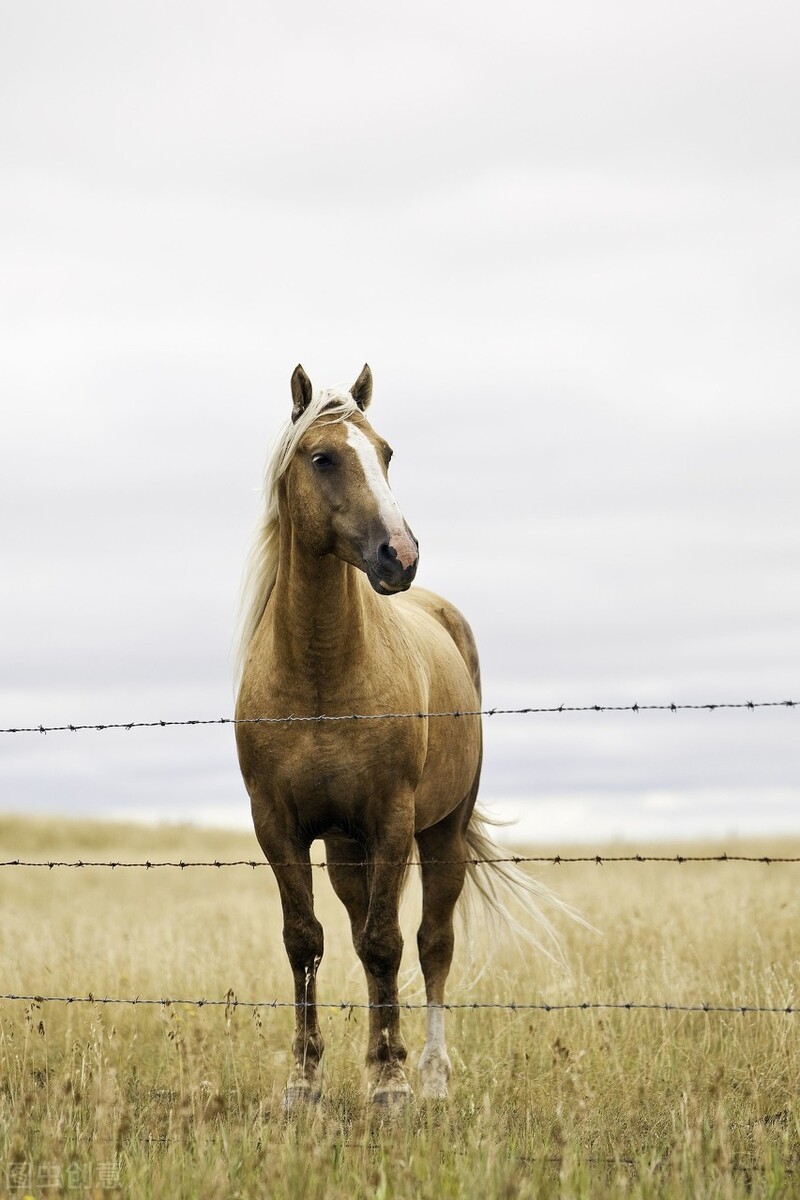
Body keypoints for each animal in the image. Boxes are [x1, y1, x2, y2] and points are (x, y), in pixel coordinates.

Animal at [234, 364, 555, 1107]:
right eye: (323, 457)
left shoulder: (392, 821)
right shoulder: (278, 827)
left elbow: (388, 945)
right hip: (347, 852)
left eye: (385, 453)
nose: (399, 555)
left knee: (432, 944)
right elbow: (306, 942)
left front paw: (391, 1082)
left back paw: (432, 1075)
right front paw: (305, 1080)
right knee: (357, 936)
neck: (321, 679)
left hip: (439, 836)